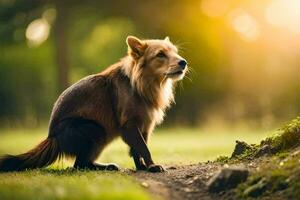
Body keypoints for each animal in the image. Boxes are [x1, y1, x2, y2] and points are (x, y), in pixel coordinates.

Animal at [0, 35, 188, 172]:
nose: (183, 62)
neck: (142, 84)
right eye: (160, 54)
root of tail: (52, 136)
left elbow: (138, 150)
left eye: (175, 52)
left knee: (82, 163)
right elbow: (143, 148)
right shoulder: (129, 125)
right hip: (97, 130)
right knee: (78, 165)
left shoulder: (144, 126)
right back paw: (104, 167)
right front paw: (152, 166)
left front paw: (142, 167)